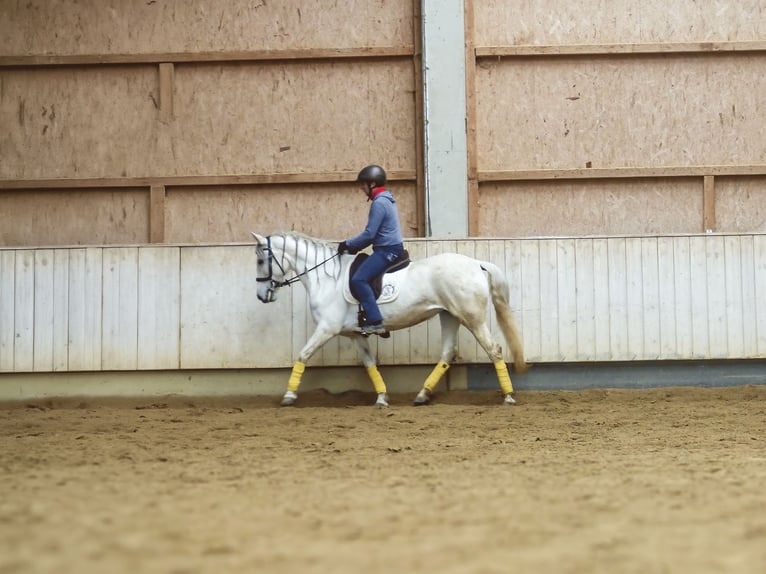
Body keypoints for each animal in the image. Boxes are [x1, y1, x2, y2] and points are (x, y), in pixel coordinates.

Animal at [251, 231, 527, 407]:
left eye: (261, 260)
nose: (262, 296)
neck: (328, 278)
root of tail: (477, 263)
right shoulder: (354, 334)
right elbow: (369, 363)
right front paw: (382, 398)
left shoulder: (327, 328)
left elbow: (302, 355)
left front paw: (288, 396)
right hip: (449, 315)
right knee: (448, 352)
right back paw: (422, 395)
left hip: (472, 318)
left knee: (494, 350)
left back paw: (508, 396)